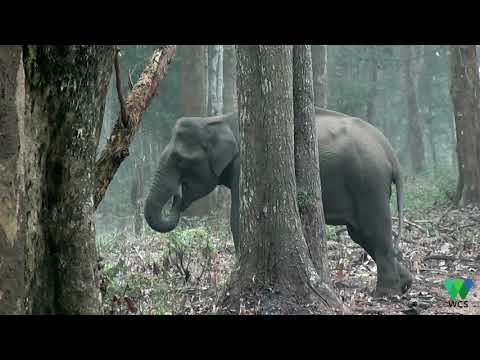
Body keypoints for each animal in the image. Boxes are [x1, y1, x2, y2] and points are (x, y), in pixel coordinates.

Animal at [142, 106, 412, 296]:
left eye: (179, 159)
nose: (177, 196)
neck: (219, 120)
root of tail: (390, 153)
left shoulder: (245, 167)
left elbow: (238, 218)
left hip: (368, 183)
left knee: (373, 231)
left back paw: (385, 293)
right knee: (363, 235)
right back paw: (406, 284)